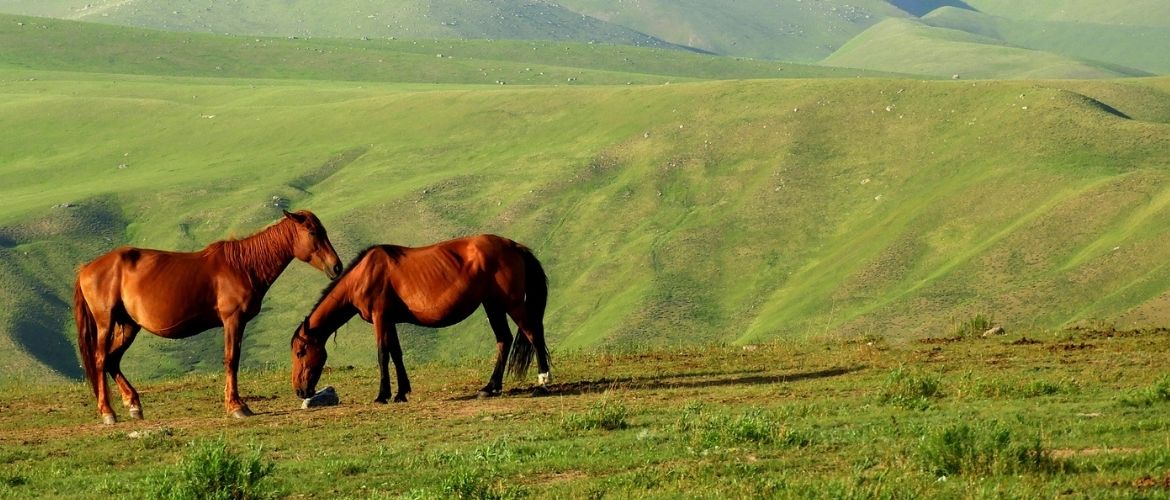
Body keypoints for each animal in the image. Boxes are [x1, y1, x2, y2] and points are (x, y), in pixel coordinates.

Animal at [74, 209, 341, 423]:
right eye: (313, 232)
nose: (336, 266)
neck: (243, 266)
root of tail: (87, 268)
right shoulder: (233, 320)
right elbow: (232, 360)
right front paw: (236, 407)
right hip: (106, 323)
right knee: (101, 360)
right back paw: (108, 412)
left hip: (129, 326)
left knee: (112, 360)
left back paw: (134, 405)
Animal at [290, 234, 549, 402]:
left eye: (301, 352)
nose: (300, 391)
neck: (364, 274)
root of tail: (514, 246)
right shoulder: (390, 321)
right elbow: (396, 353)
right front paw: (401, 392)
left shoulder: (380, 318)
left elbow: (382, 354)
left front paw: (382, 395)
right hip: (493, 305)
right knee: (504, 340)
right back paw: (490, 387)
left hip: (511, 303)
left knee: (533, 334)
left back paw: (543, 384)